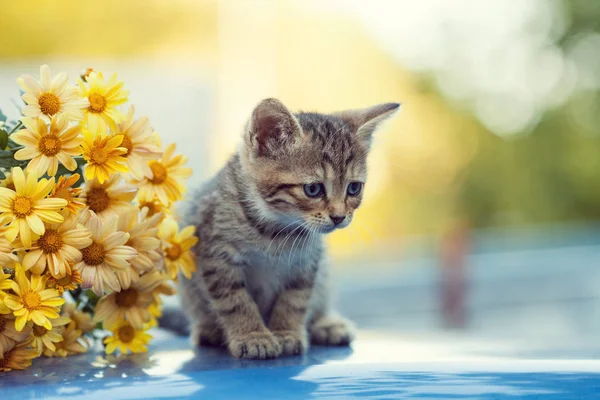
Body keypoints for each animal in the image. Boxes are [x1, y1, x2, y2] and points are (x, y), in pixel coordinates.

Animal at [180, 97, 400, 360]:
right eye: (313, 189)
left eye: (354, 188)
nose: (339, 217)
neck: (276, 231)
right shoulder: (217, 255)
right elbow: (235, 301)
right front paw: (253, 335)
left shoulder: (307, 262)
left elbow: (295, 299)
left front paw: (285, 333)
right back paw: (209, 330)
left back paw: (326, 324)